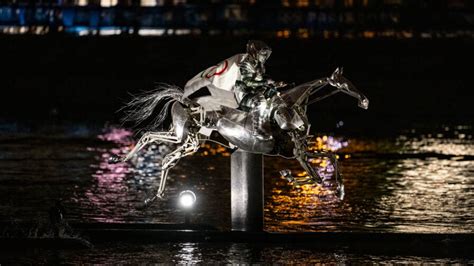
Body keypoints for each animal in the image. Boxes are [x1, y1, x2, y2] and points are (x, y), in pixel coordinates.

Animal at [113, 66, 368, 204]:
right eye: (343, 83)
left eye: (350, 81)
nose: (365, 101)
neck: (290, 108)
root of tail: (184, 100)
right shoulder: (298, 154)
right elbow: (316, 177)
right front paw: (289, 176)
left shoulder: (299, 152)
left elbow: (331, 158)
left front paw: (341, 190)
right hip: (189, 141)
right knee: (166, 158)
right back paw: (152, 197)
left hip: (182, 135)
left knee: (149, 136)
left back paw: (123, 161)